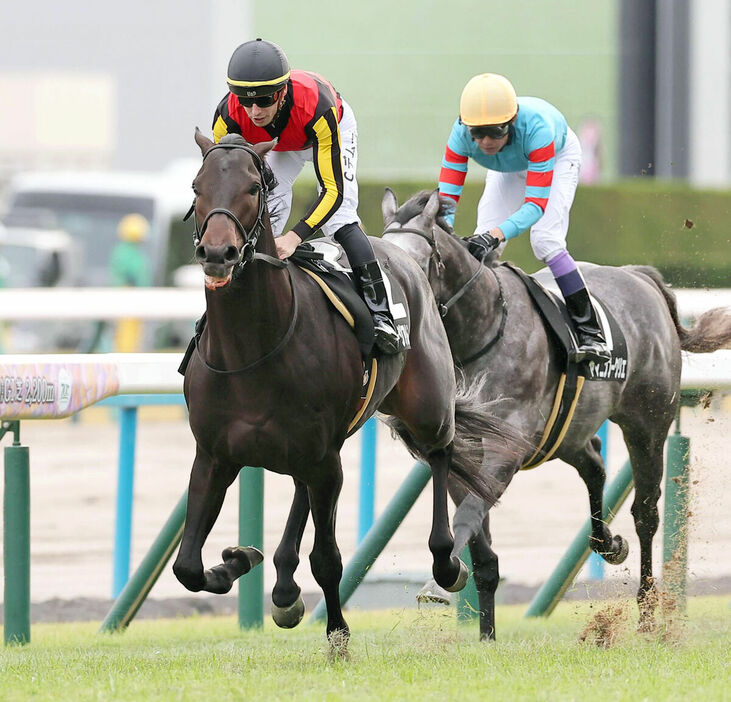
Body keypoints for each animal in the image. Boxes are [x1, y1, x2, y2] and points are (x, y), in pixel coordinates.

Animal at [172, 135, 516, 656]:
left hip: (425, 405)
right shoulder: (214, 455)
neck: (252, 347)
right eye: (196, 185)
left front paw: (338, 638)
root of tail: (406, 255)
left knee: (441, 453)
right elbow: (187, 566)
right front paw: (237, 559)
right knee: (300, 492)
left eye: (253, 187)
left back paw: (446, 564)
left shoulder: (324, 458)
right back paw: (284, 589)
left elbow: (329, 559)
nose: (218, 252)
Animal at [384, 188, 731, 644]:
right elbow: (480, 544)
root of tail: (640, 277)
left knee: (645, 514)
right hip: (567, 432)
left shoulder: (505, 450)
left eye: (415, 262)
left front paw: (439, 583)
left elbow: (468, 515)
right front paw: (486, 635)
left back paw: (646, 615)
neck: (481, 331)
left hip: (648, 423)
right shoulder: (463, 455)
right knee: (595, 463)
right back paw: (608, 543)